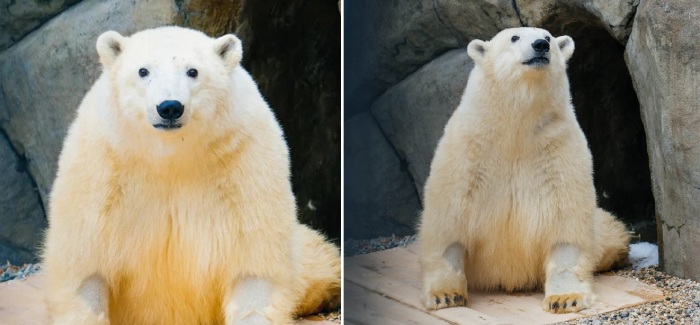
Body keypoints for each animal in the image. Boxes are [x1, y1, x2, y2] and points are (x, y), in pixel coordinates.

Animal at [42, 27, 340, 324]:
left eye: (193, 71)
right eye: (142, 71)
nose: (169, 107)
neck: (171, 157)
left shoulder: (244, 160)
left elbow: (253, 264)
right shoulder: (102, 167)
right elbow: (86, 265)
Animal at [418, 28, 632, 314]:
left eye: (549, 37)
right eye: (514, 38)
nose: (541, 45)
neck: (516, 124)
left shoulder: (559, 149)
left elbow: (566, 223)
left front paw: (565, 298)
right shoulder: (467, 149)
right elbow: (449, 220)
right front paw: (446, 295)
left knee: (609, 233)